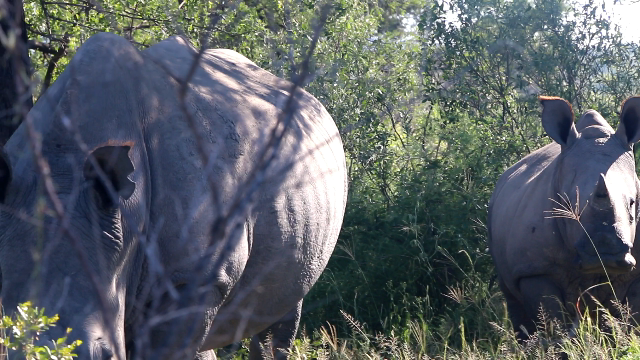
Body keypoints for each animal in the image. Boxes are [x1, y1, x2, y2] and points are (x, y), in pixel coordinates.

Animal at [488, 95, 640, 338]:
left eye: (633, 203)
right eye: (567, 205)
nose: (605, 255)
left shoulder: (636, 274)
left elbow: (632, 323)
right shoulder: (535, 269)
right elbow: (553, 325)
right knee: (514, 301)